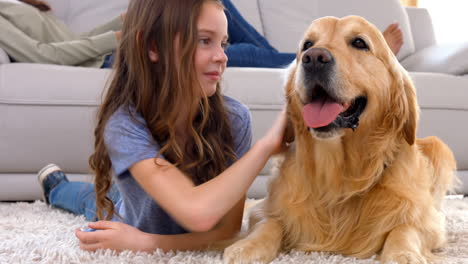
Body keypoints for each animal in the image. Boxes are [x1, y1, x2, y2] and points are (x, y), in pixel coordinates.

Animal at [223, 16, 458, 264]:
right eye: (307, 45)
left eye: (359, 42)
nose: (314, 58)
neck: (339, 176)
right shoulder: (266, 208)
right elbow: (269, 222)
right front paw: (246, 246)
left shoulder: (429, 220)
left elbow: (405, 228)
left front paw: (403, 254)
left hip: (438, 147)